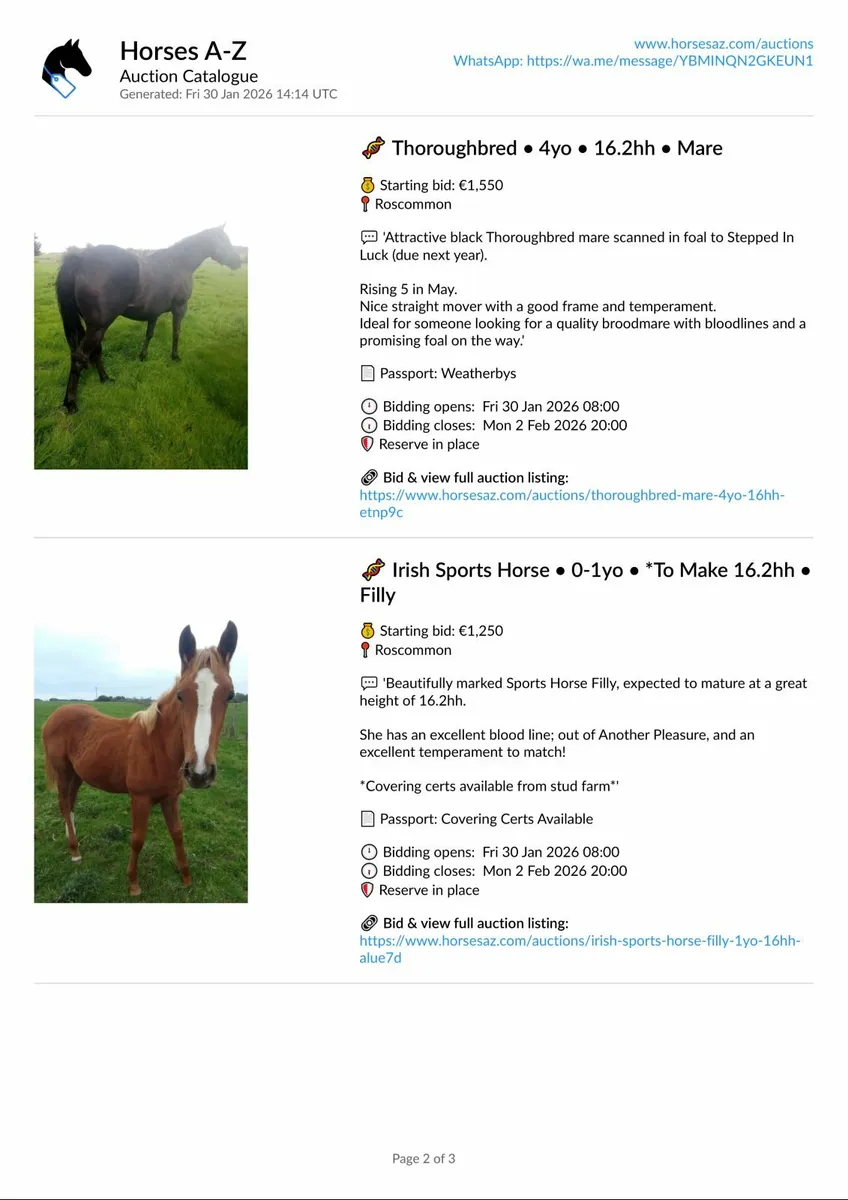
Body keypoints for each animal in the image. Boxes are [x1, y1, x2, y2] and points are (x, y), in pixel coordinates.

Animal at [41, 622, 238, 897]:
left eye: (230, 694)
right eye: (180, 695)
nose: (199, 772)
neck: (158, 748)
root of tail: (55, 715)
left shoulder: (170, 798)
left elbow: (177, 833)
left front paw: (186, 877)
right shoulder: (140, 799)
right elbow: (137, 839)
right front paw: (133, 883)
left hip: (77, 774)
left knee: (69, 805)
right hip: (63, 772)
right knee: (63, 804)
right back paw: (75, 851)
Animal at [55, 226, 242, 412]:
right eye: (224, 240)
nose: (238, 261)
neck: (179, 264)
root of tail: (81, 258)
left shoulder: (153, 313)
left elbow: (149, 334)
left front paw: (143, 356)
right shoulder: (180, 308)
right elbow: (176, 333)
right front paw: (175, 356)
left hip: (95, 326)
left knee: (94, 351)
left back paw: (105, 379)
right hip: (99, 326)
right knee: (80, 356)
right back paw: (71, 403)